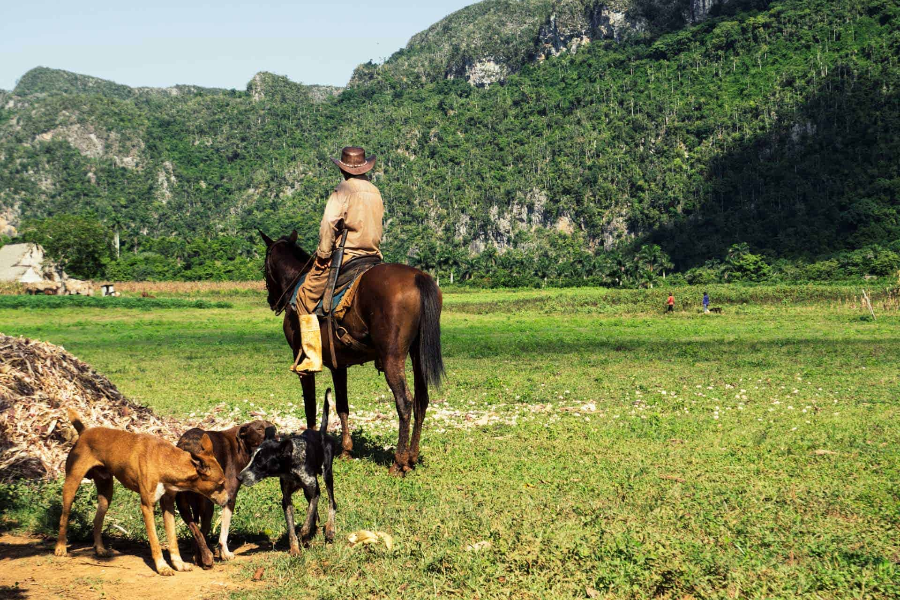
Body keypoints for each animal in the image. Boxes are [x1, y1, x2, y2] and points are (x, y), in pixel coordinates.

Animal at [55, 410, 229, 576]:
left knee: (97, 520)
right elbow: (155, 540)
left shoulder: (168, 505)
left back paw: (100, 549)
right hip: (71, 484)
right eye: (220, 484)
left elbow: (173, 539)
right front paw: (162, 567)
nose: (228, 500)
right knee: (64, 516)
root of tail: (84, 432)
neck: (165, 461)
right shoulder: (147, 506)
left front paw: (178, 564)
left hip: (106, 493)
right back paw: (61, 548)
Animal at [175, 420, 270, 568]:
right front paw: (225, 553)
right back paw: (206, 558)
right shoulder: (230, 497)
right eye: (259, 429)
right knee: (203, 531)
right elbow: (223, 531)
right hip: (207, 506)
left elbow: (198, 531)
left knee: (197, 531)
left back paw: (201, 556)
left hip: (183, 506)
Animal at [237, 390, 340, 552]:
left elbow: (308, 517)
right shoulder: (286, 499)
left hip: (327, 476)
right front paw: (295, 549)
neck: (291, 466)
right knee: (315, 511)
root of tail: (321, 433)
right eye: (251, 457)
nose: (239, 477)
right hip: (308, 490)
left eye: (260, 463)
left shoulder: (315, 491)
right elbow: (292, 527)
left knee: (331, 503)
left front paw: (304, 533)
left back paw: (329, 529)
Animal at [258, 232, 444, 476]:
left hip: (392, 358)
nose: (272, 300)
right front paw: (346, 450)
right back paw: (411, 458)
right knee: (422, 401)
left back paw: (398, 462)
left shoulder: (305, 366)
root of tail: (418, 277)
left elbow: (310, 406)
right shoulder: (339, 365)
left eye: (265, 266)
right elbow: (342, 406)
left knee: (405, 402)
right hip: (417, 355)